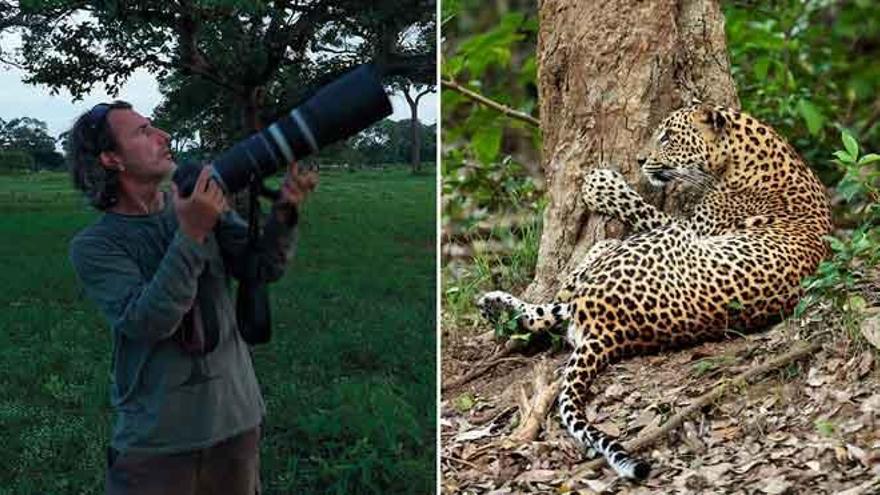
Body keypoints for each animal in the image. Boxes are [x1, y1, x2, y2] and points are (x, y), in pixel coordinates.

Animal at [474, 104, 832, 480]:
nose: (640, 159)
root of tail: (608, 333)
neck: (746, 149)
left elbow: (640, 207)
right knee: (549, 310)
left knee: (573, 287)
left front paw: (599, 183)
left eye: (668, 137)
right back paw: (494, 304)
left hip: (662, 242)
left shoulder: (691, 225)